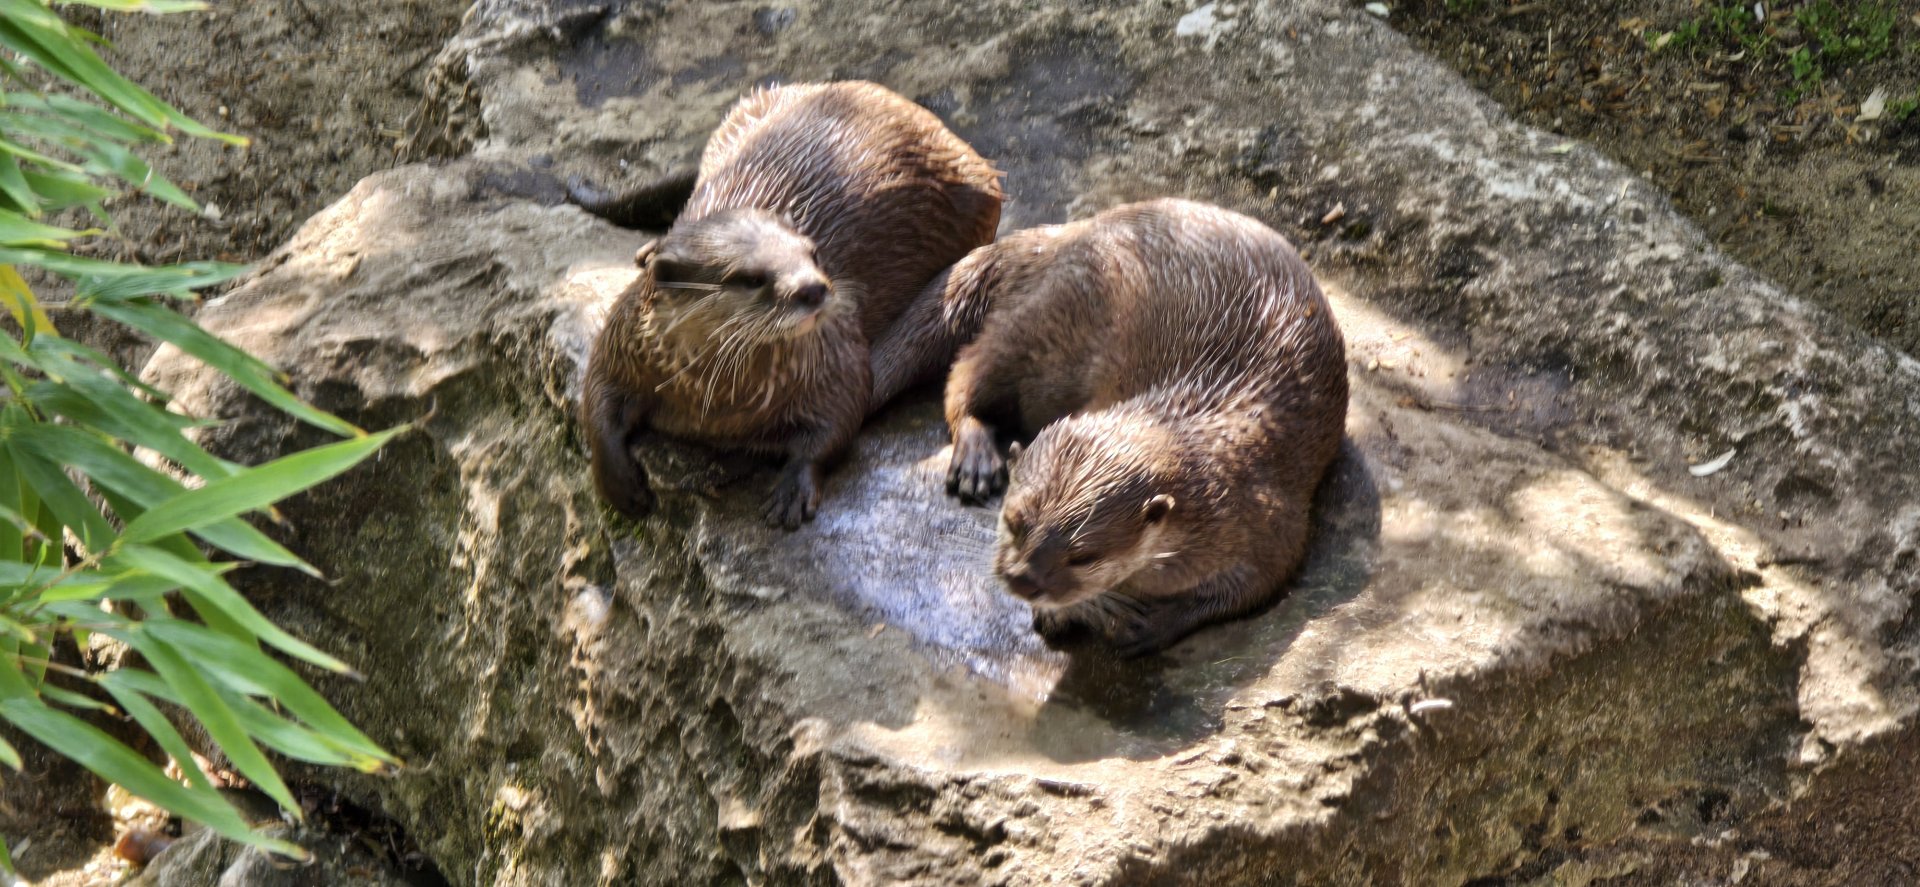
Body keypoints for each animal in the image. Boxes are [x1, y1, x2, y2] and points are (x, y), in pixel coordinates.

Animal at [580, 81, 1003, 528]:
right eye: (751, 278)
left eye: (813, 254)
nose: (814, 289)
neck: (715, 405)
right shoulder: (624, 338)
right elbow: (596, 399)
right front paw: (617, 483)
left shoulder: (835, 356)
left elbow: (838, 420)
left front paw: (793, 488)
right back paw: (648, 248)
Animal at [936, 199, 1348, 656]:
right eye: (1013, 522)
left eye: (1084, 556)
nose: (1023, 579)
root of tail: (1068, 233)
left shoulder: (1270, 526)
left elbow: (1251, 589)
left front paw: (1149, 624)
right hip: (1043, 325)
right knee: (966, 371)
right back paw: (975, 460)